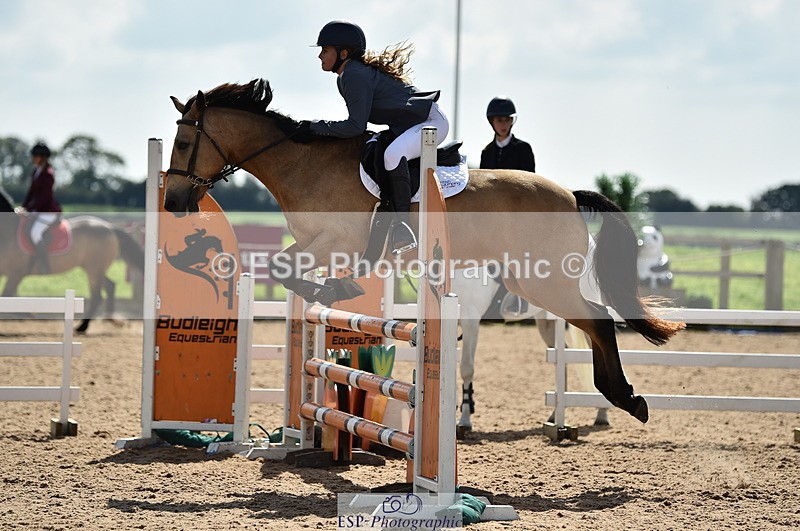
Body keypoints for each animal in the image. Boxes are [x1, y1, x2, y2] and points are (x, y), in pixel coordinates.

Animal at [0, 191, 144, 333]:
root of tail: (109, 227)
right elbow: (7, 297)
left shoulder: (17, 274)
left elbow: (6, 296)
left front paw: (28, 314)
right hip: (94, 269)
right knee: (110, 286)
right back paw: (109, 318)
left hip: (94, 270)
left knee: (97, 296)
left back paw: (83, 327)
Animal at [163, 79, 684, 423]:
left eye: (185, 141)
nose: (173, 203)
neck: (303, 163)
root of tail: (571, 196)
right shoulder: (314, 243)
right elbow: (282, 267)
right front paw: (331, 292)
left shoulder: (338, 241)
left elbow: (292, 269)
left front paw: (337, 289)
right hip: (531, 282)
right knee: (591, 323)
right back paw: (615, 398)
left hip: (546, 282)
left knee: (599, 320)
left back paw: (624, 399)